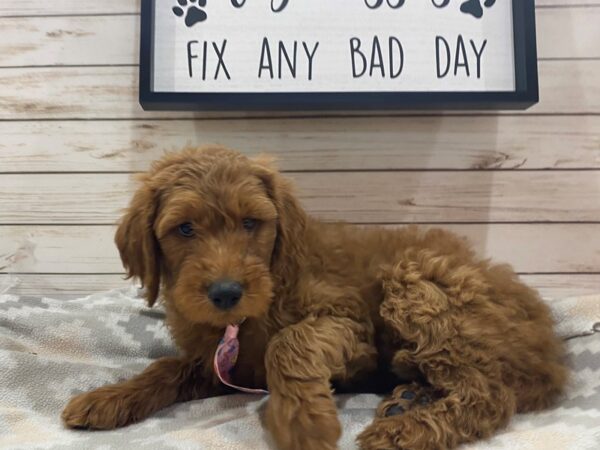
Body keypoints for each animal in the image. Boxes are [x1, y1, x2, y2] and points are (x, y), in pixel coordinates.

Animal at [63, 146, 568, 448]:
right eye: (184, 229)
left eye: (251, 223)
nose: (226, 292)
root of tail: (550, 353)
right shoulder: (224, 365)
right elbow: (168, 368)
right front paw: (108, 397)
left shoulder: (348, 327)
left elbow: (289, 344)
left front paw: (305, 423)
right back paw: (411, 398)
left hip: (414, 280)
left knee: (490, 394)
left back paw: (405, 427)